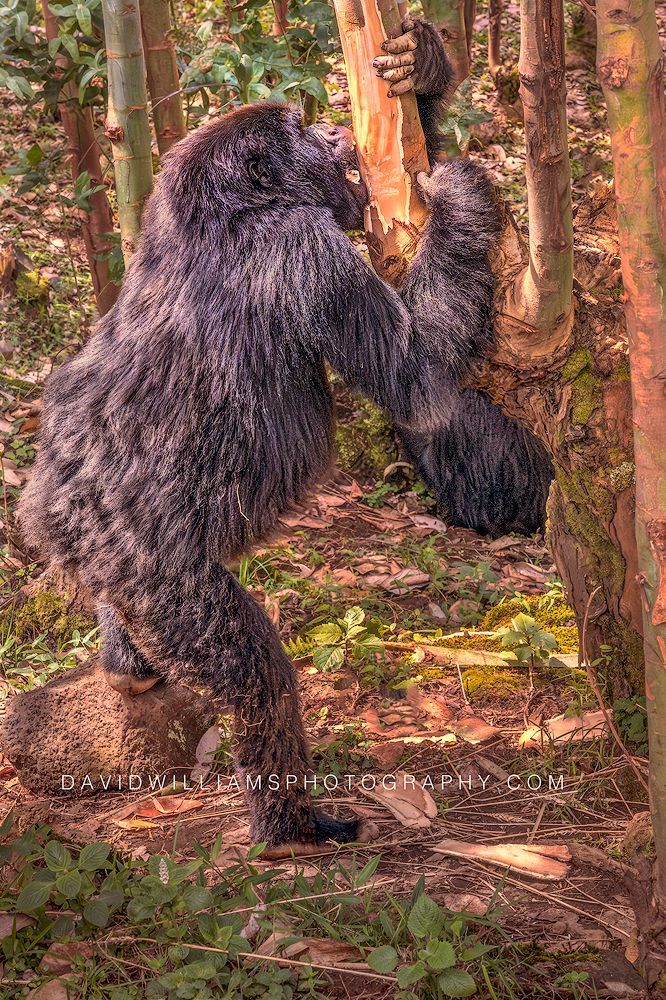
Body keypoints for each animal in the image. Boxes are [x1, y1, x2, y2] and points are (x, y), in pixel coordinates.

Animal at [18, 19, 500, 853]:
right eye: (302, 131)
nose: (333, 127)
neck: (231, 208)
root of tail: (48, 516)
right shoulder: (305, 251)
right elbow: (419, 376)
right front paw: (461, 193)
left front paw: (424, 70)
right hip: (165, 582)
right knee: (258, 678)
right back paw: (290, 822)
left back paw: (123, 661)